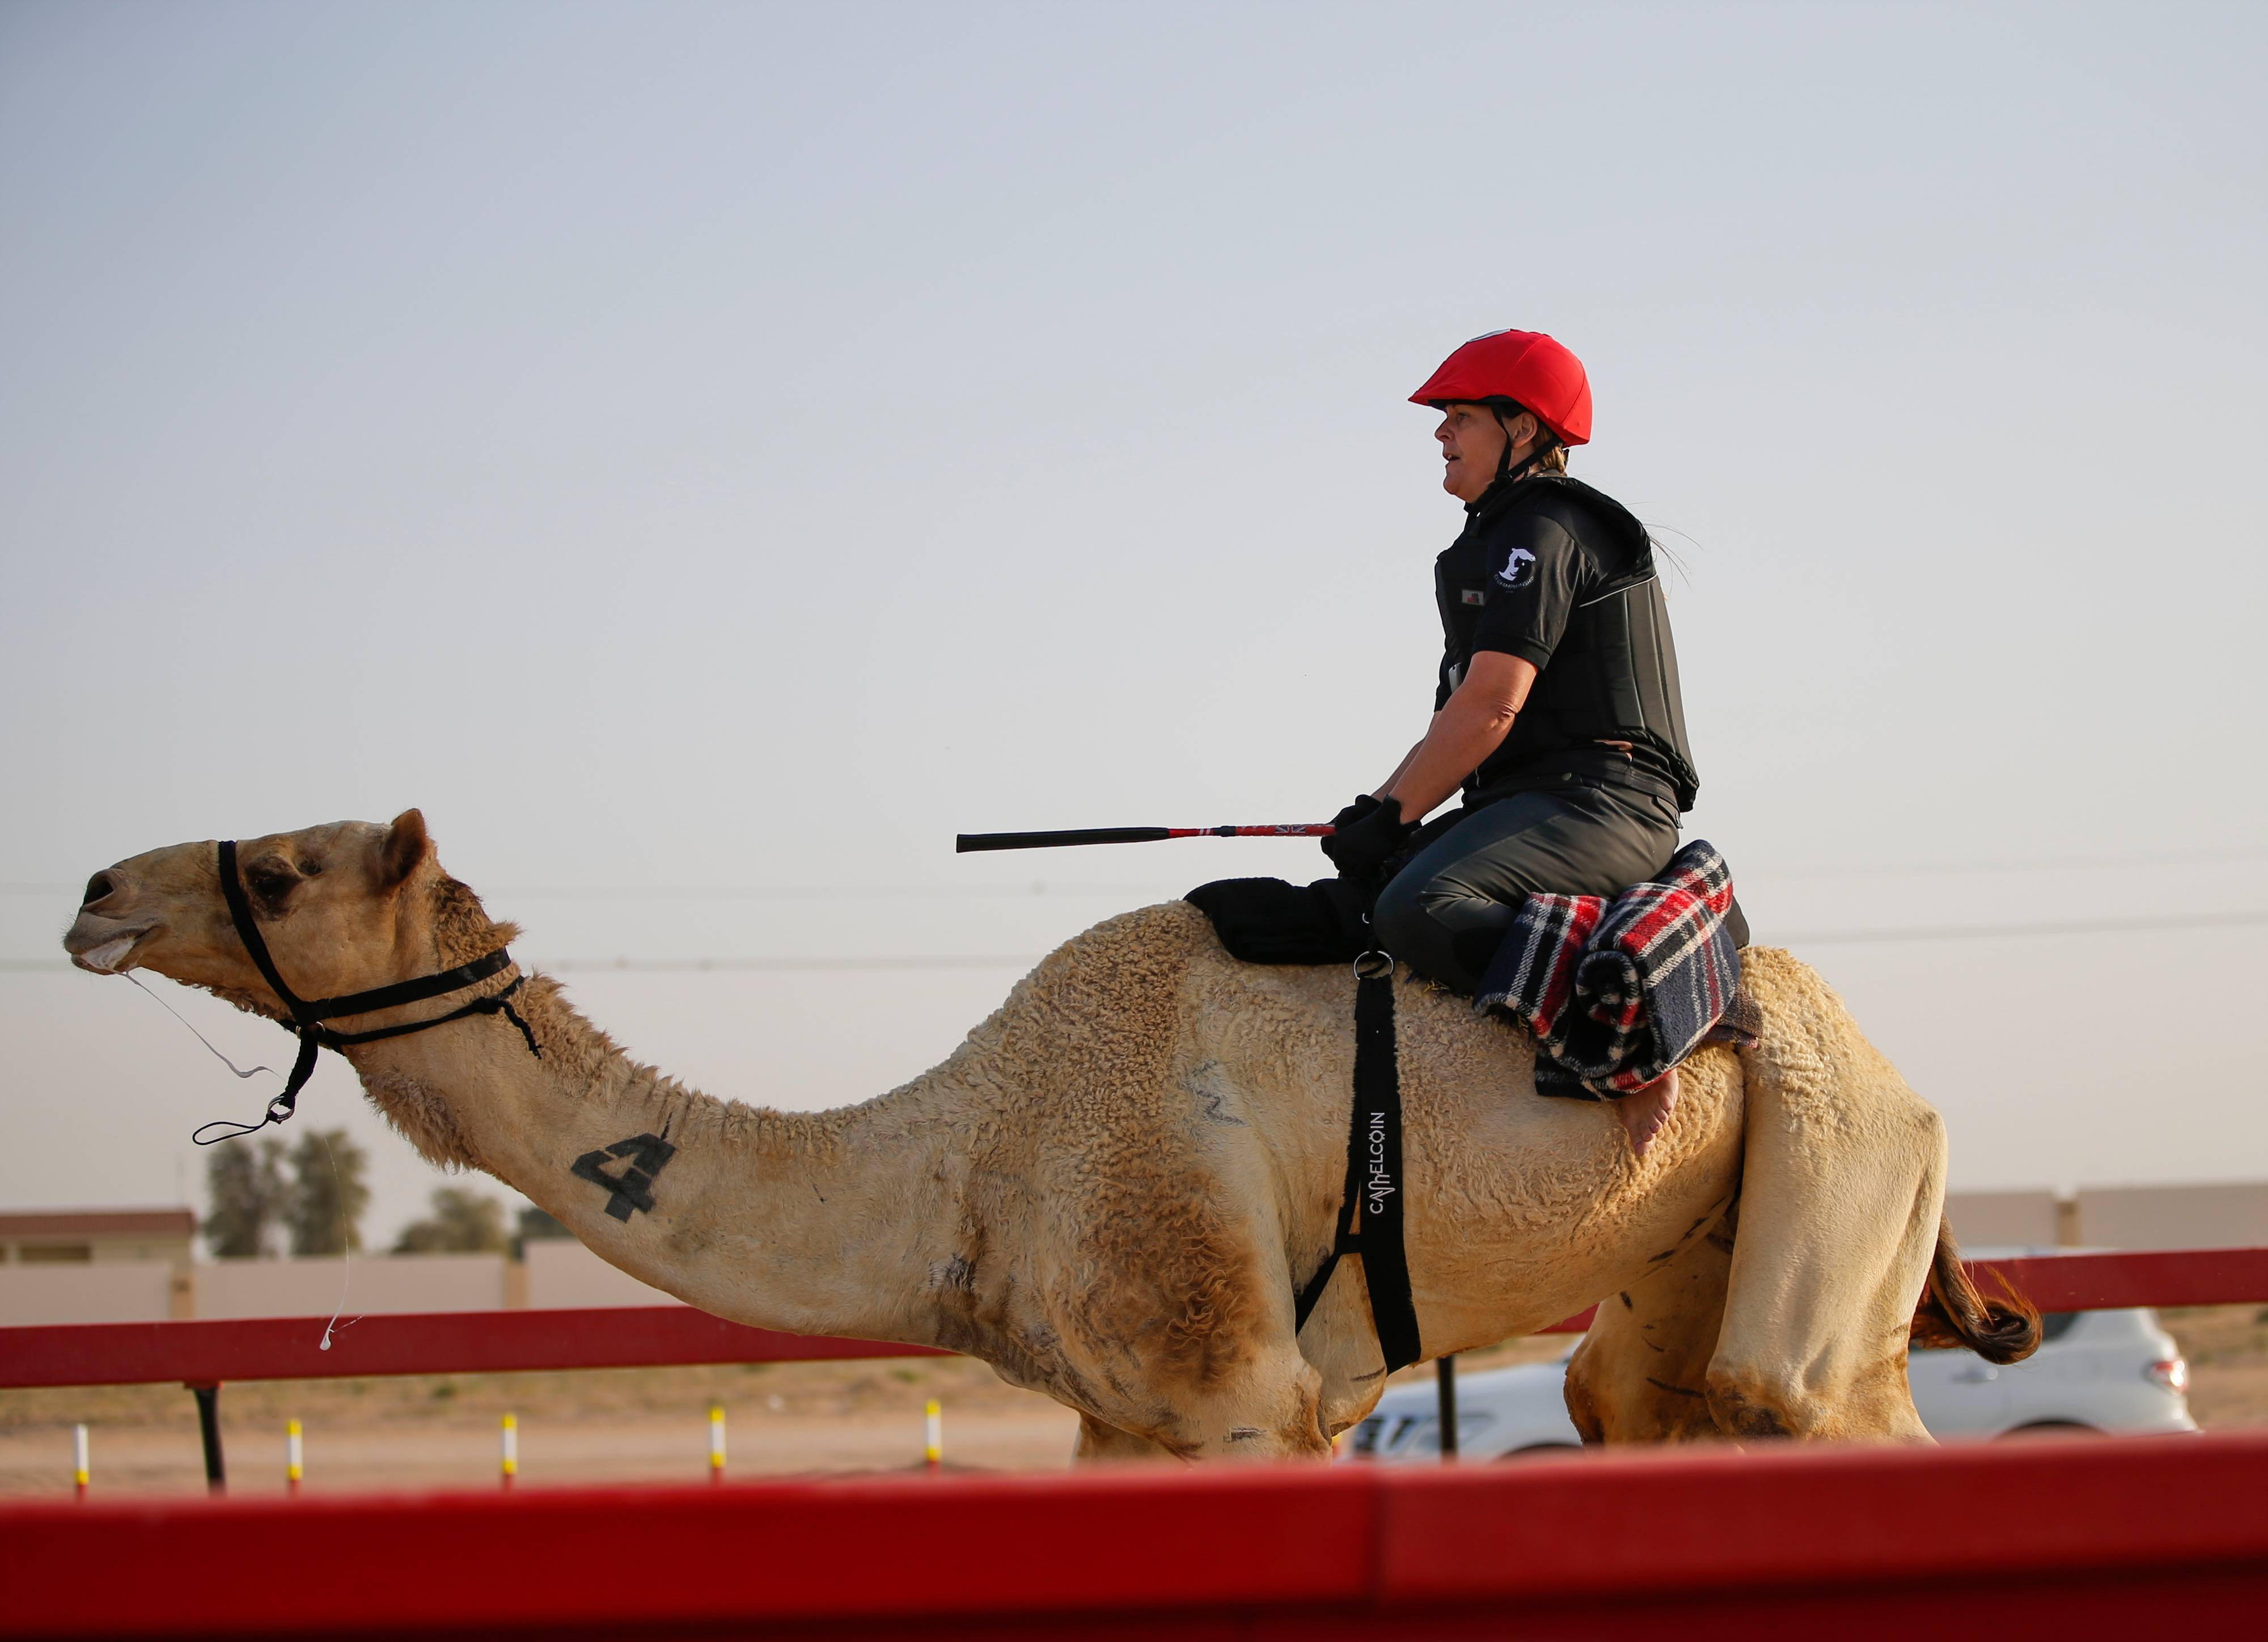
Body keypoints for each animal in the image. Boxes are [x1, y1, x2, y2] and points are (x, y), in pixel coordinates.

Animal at [66, 812, 2041, 1461]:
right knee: (1637, 1398)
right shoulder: (1126, 1413)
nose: (93, 891)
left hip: (1843, 1163)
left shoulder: (1243, 1387)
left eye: (275, 869)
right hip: (1691, 1239)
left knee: (1806, 1394)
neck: (956, 1161)